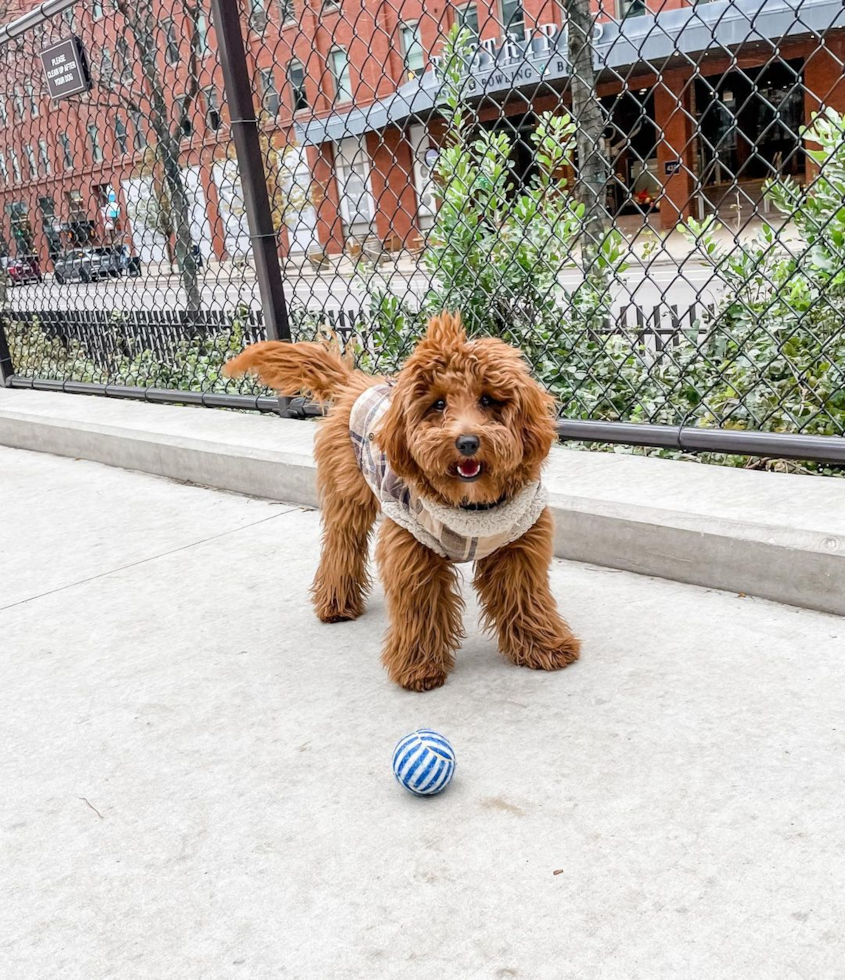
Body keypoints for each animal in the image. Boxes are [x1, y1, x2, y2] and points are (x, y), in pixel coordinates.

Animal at [224, 312, 580, 688]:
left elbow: (524, 594)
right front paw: (418, 666)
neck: (471, 506)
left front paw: (543, 645)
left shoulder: (518, 543)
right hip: (348, 494)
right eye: (438, 404)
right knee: (342, 544)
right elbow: (419, 604)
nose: (467, 442)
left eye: (487, 400)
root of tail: (356, 384)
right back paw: (336, 603)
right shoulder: (412, 544)